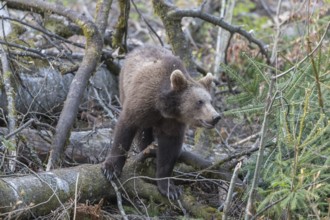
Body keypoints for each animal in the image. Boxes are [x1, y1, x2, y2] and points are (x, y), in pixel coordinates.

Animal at [102, 46, 220, 199]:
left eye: (210, 101)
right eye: (199, 102)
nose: (216, 117)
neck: (164, 107)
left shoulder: (173, 123)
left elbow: (169, 150)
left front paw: (170, 188)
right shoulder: (142, 102)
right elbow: (125, 128)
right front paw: (111, 168)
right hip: (123, 86)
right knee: (143, 130)